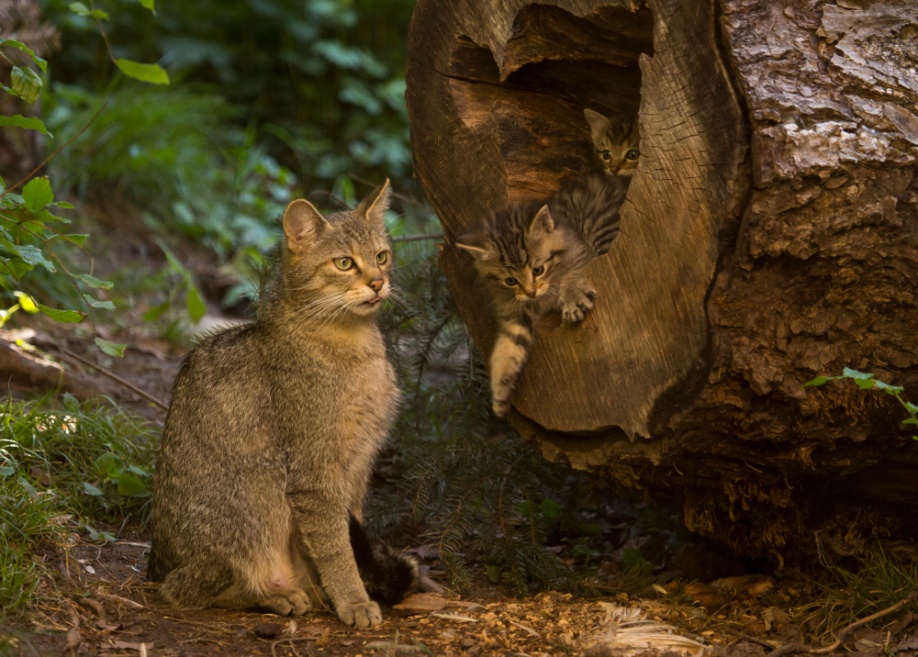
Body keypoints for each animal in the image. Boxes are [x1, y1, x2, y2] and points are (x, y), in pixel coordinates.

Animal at [148, 178, 420, 624]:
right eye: (344, 263)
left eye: (382, 256)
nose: (379, 282)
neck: (358, 348)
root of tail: (154, 563)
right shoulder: (315, 473)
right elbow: (337, 547)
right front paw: (353, 598)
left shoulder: (358, 467)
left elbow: (344, 538)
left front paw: (344, 590)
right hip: (255, 497)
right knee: (184, 590)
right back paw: (276, 595)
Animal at [458, 173, 628, 416]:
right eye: (510, 280)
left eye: (538, 269)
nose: (530, 292)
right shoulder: (515, 313)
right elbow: (506, 347)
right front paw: (499, 391)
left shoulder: (581, 254)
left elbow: (572, 275)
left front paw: (573, 299)